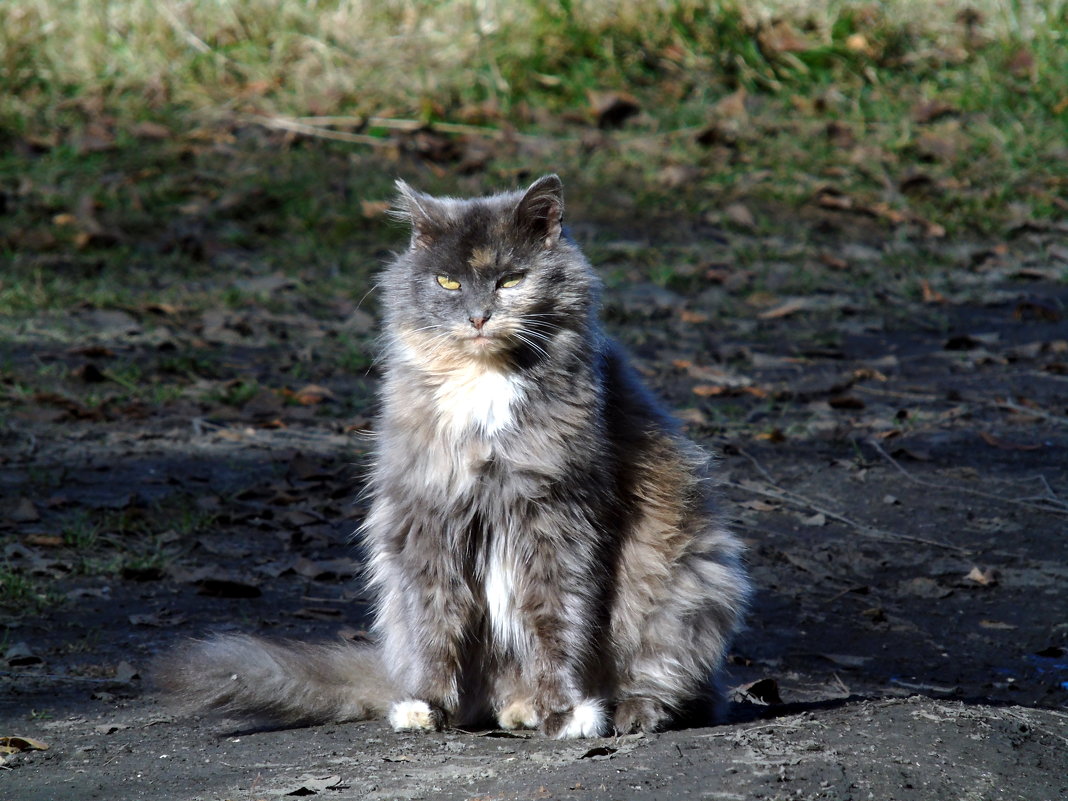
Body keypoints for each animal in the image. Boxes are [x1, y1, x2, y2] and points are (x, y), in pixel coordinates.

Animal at [158, 174, 751, 739]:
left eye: (511, 279)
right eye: (448, 282)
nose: (479, 316)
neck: (483, 384)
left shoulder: (558, 516)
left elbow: (557, 617)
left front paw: (566, 711)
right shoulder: (427, 517)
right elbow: (436, 621)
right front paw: (427, 706)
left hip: (691, 580)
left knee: (683, 683)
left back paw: (624, 709)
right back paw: (514, 710)